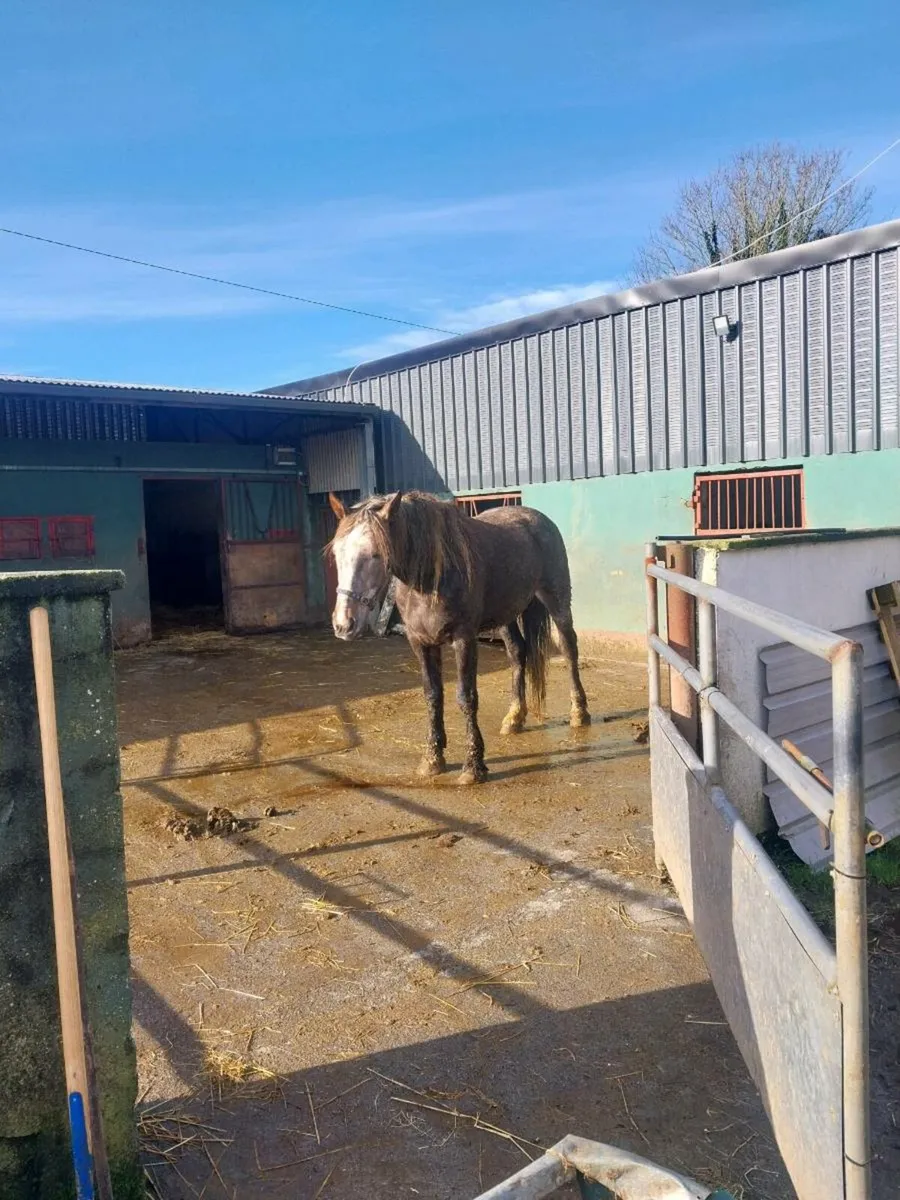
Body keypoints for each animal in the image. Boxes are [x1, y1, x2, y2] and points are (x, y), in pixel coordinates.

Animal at [327, 490, 590, 786]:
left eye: (375, 554)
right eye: (337, 552)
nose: (343, 624)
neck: (430, 579)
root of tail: (538, 518)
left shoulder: (464, 639)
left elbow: (466, 697)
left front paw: (473, 767)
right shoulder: (420, 643)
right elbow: (432, 695)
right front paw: (432, 760)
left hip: (556, 600)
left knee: (569, 649)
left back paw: (579, 713)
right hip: (507, 615)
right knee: (517, 652)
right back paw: (514, 718)